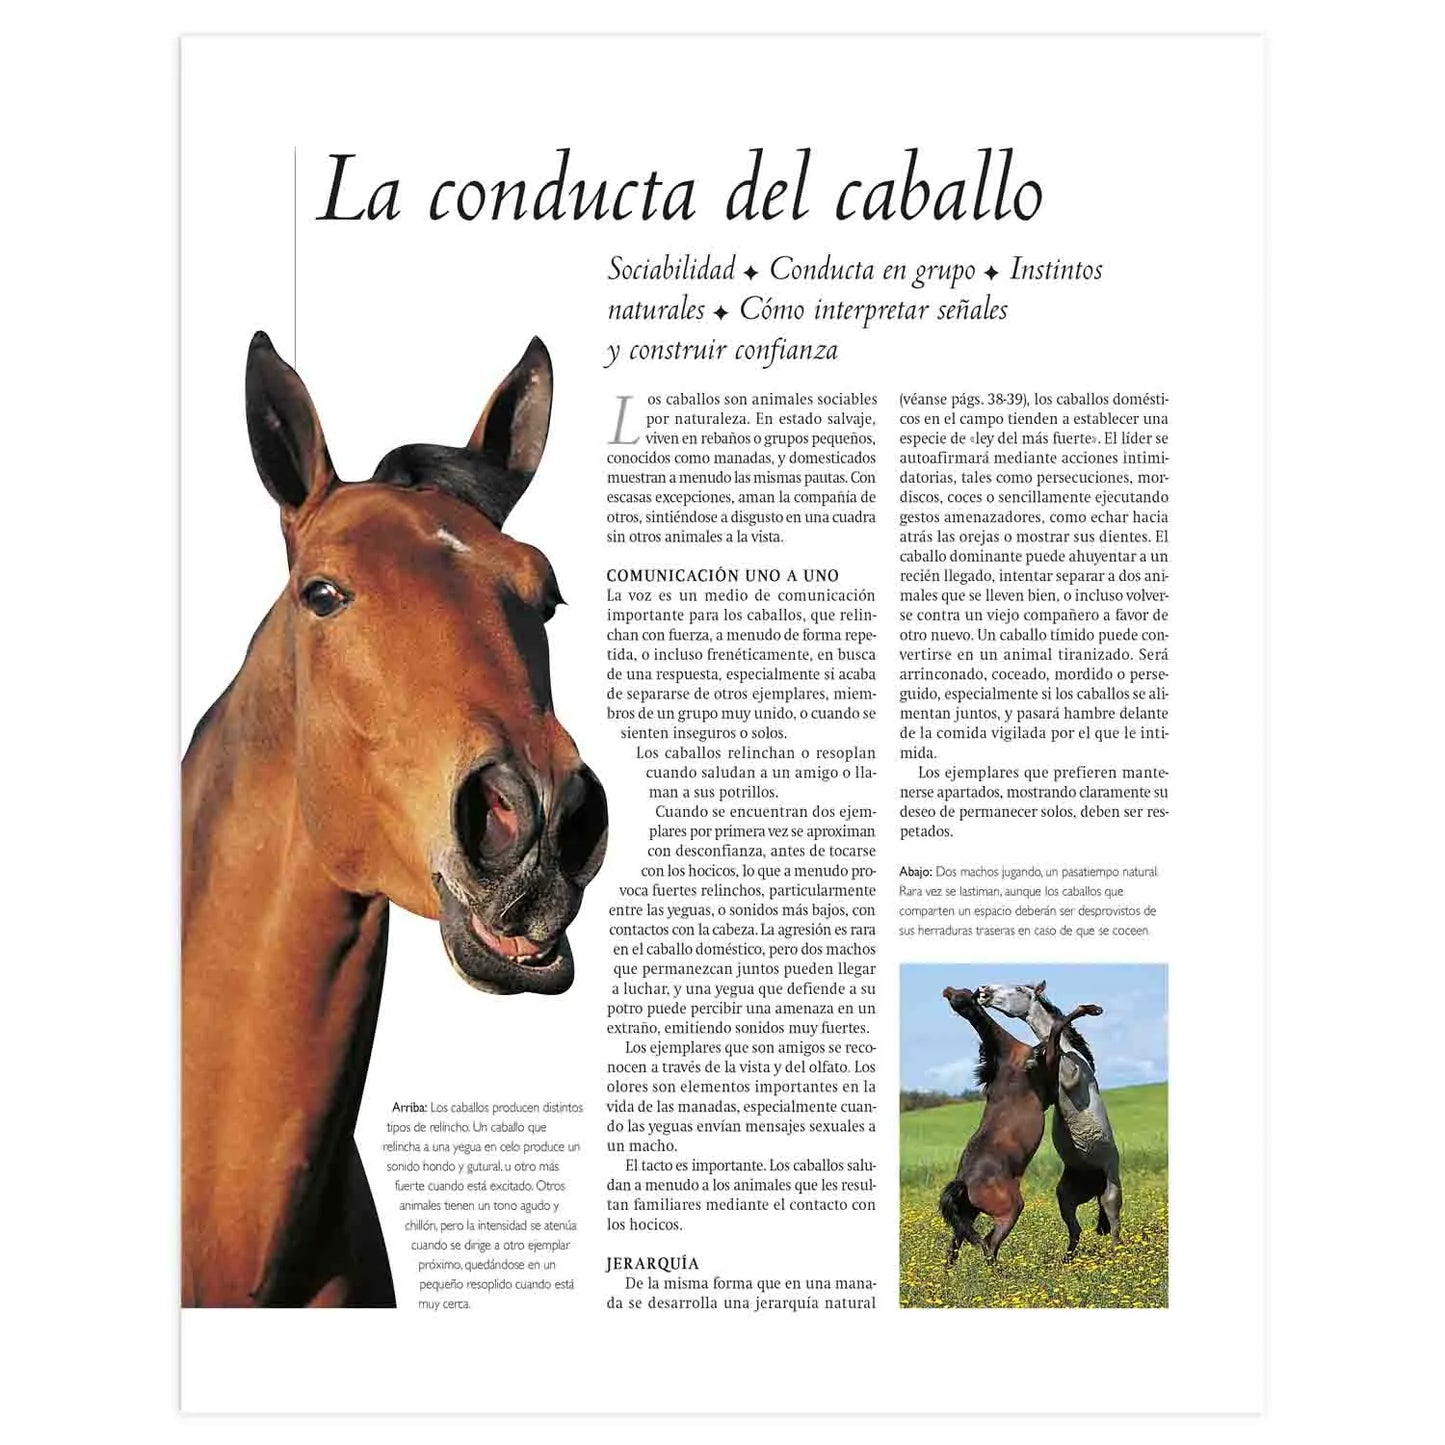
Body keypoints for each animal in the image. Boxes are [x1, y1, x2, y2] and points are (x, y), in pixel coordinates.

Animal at [937, 987, 1102, 1267]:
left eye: (960, 993)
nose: (949, 990)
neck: (1005, 1058)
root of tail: (963, 1184)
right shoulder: (1049, 1070)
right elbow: (1056, 1029)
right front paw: (1089, 1009)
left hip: (967, 1217)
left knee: (955, 1249)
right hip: (1010, 1210)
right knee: (989, 1246)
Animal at [977, 980, 1122, 1255]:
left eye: (1020, 989)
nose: (983, 990)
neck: (1072, 1053)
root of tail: (1094, 1184)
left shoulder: (1071, 1077)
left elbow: (1058, 1026)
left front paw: (1092, 1009)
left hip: (1111, 1190)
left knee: (1114, 1223)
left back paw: (1116, 1253)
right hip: (1065, 1196)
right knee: (1075, 1230)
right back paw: (1068, 1260)